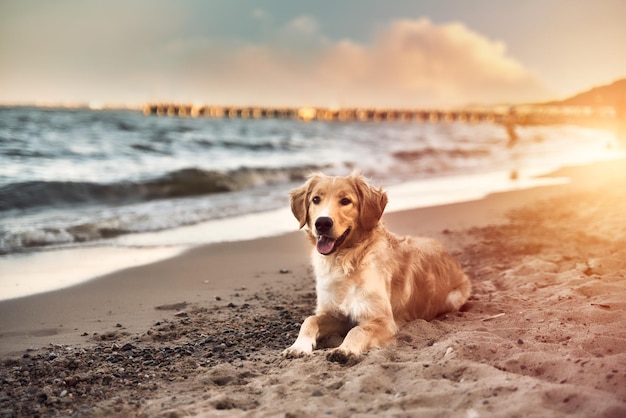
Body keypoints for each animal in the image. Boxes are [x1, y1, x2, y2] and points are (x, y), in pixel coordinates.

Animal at [282, 172, 468, 362]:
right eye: (316, 199)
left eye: (345, 201)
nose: (322, 223)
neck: (344, 262)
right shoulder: (336, 314)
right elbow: (310, 320)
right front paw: (298, 346)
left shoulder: (383, 321)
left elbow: (358, 330)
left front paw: (345, 349)